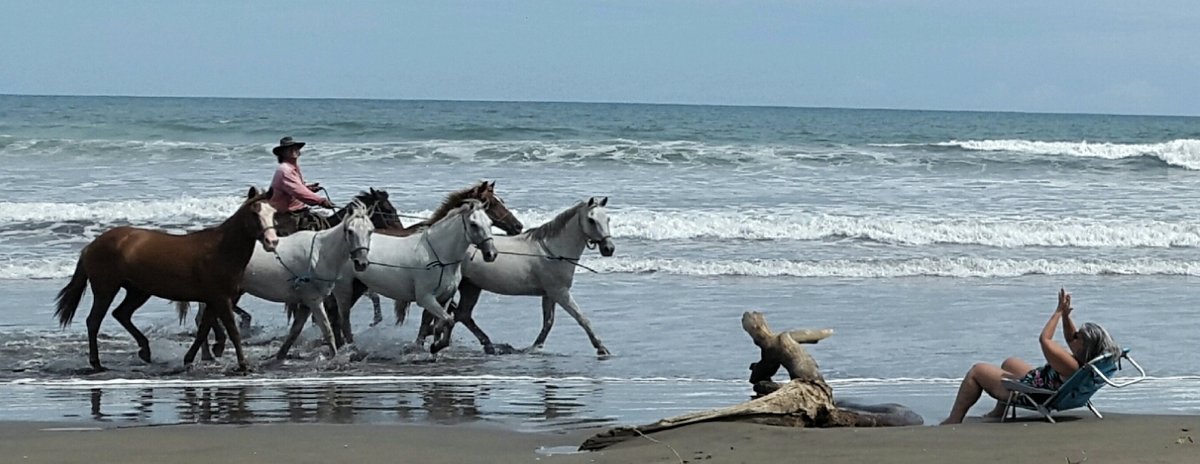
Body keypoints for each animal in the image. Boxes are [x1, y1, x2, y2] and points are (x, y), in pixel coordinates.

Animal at [54, 187, 278, 371]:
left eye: (273, 213)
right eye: (254, 213)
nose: (272, 242)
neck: (220, 249)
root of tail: (90, 246)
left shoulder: (214, 299)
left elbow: (204, 329)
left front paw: (190, 359)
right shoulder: (221, 298)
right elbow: (231, 330)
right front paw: (243, 364)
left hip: (138, 291)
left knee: (121, 314)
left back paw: (145, 351)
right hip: (106, 289)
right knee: (94, 321)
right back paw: (97, 363)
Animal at [178, 197, 369, 362]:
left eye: (370, 231)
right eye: (350, 231)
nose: (361, 263)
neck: (320, 253)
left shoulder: (306, 303)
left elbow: (295, 330)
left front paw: (280, 355)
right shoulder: (314, 300)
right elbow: (327, 329)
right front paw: (335, 355)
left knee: (204, 319)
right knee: (204, 319)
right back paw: (210, 352)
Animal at [417, 196, 614, 357]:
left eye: (607, 219)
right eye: (591, 219)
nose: (609, 248)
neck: (552, 251)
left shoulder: (549, 294)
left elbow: (548, 322)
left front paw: (534, 347)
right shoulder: (560, 292)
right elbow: (582, 318)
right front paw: (601, 348)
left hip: (471, 287)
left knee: (461, 315)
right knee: (444, 315)